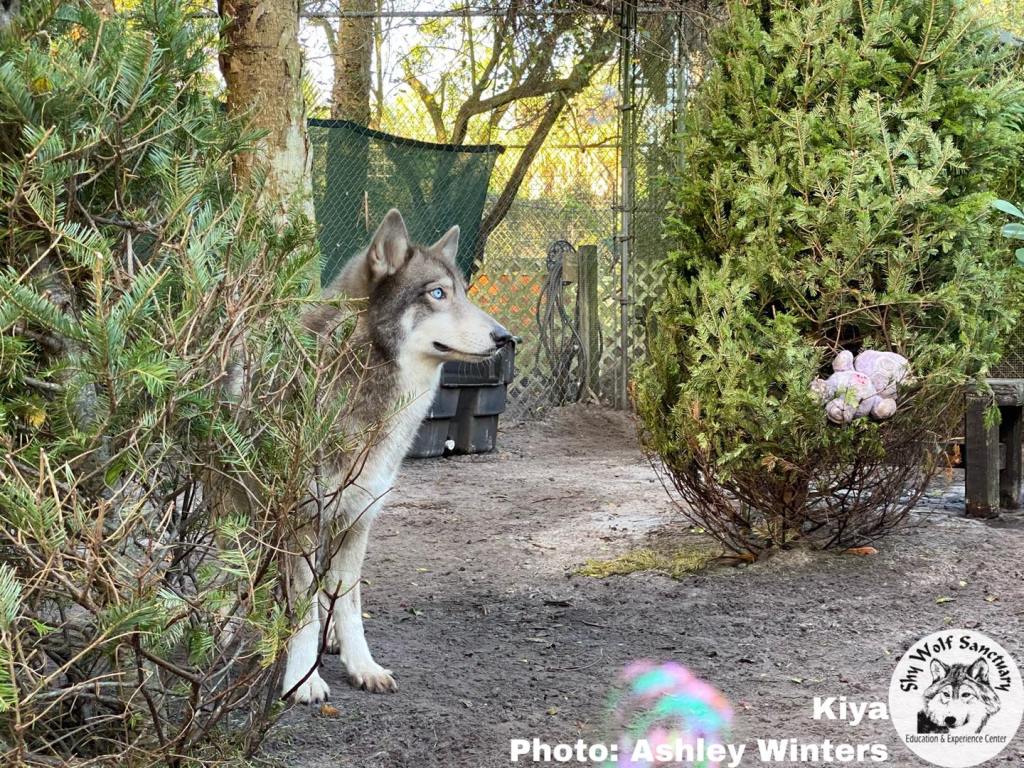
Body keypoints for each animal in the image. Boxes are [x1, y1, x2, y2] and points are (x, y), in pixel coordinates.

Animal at [282, 210, 509, 704]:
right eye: (437, 294)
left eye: (464, 292)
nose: (505, 337)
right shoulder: (305, 519)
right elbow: (303, 610)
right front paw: (303, 680)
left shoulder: (357, 518)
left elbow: (349, 604)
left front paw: (362, 666)